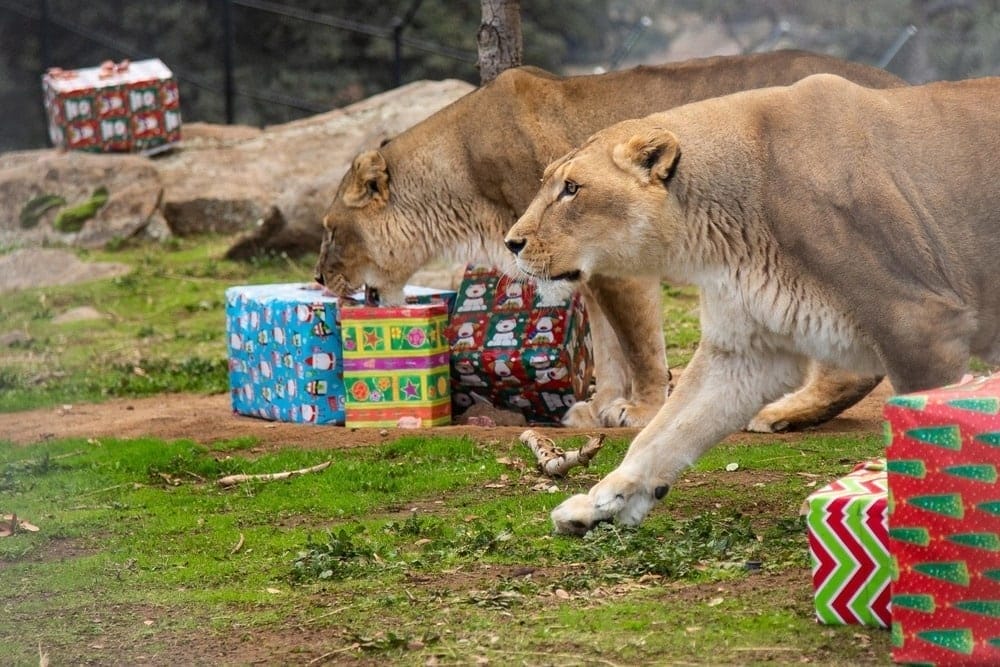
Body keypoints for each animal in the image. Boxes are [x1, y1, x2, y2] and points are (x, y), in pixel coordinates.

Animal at [314, 51, 904, 431]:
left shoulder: (621, 263)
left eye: (330, 230)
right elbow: (605, 345)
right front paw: (599, 408)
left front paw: (641, 411)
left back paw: (780, 413)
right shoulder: (580, 269)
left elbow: (638, 345)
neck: (460, 172)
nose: (318, 278)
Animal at [504, 73, 1000, 534]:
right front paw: (599, 504)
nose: (511, 242)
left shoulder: (919, 325)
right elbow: (662, 434)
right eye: (550, 183)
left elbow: (925, 449)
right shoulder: (746, 349)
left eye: (572, 188)